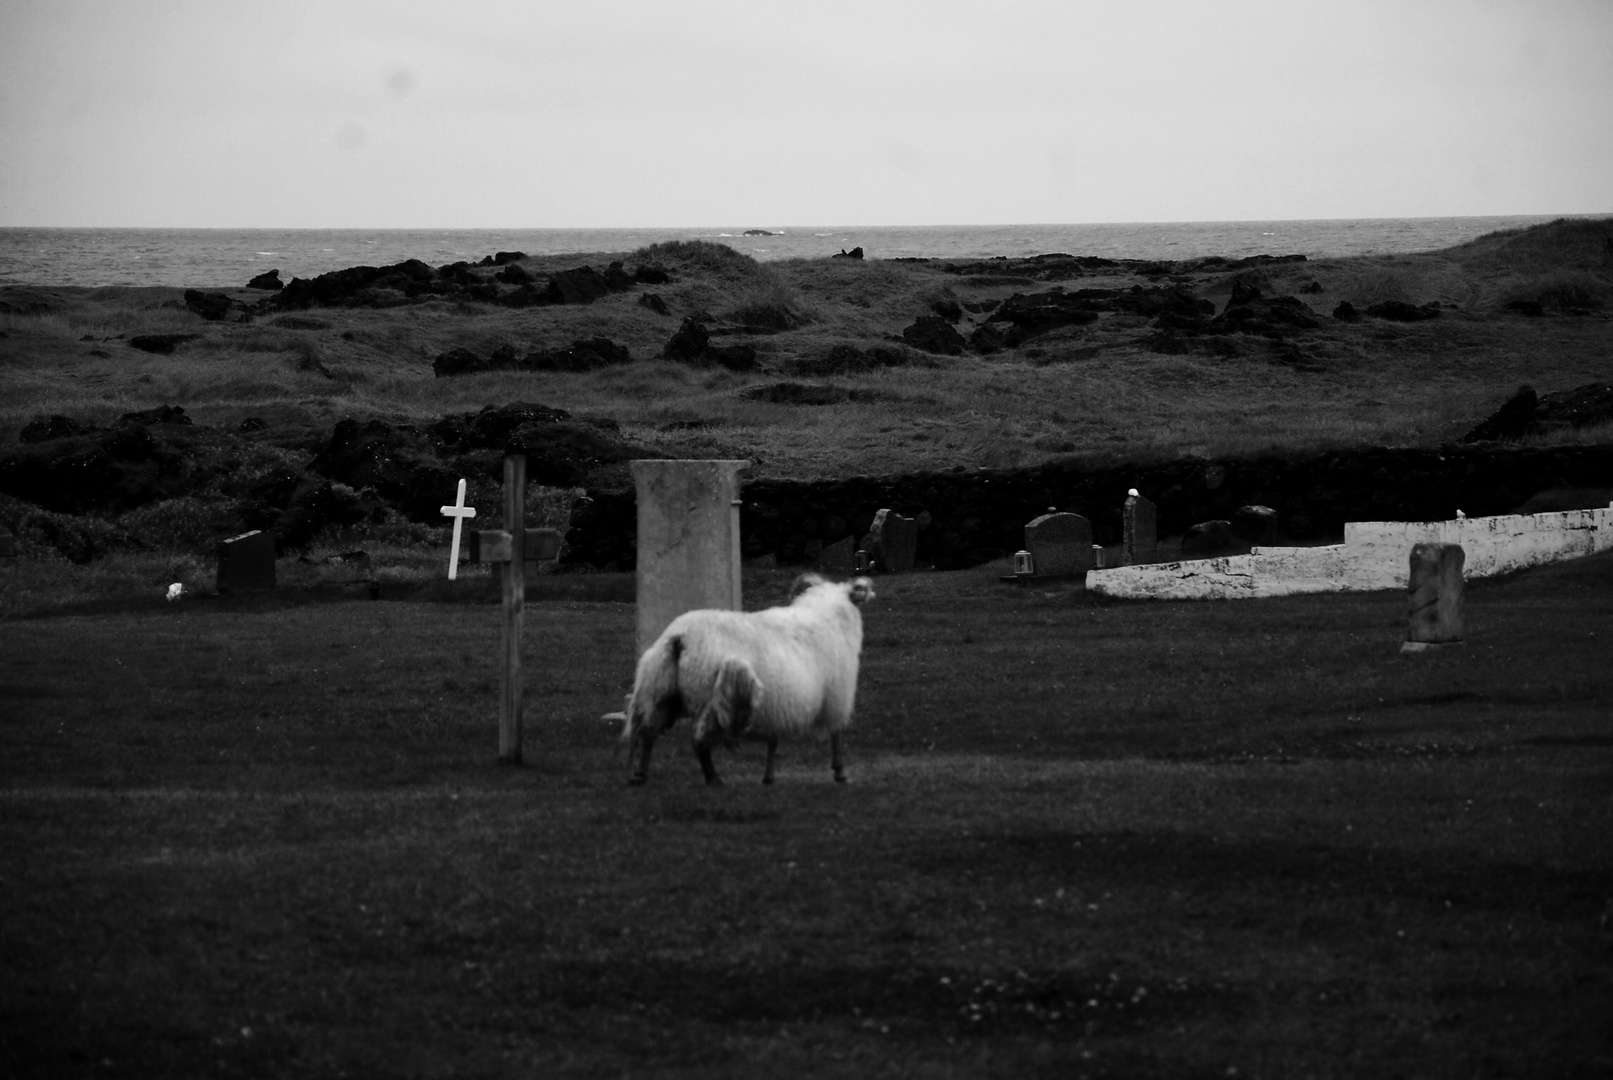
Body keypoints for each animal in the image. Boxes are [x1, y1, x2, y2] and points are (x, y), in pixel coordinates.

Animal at [616, 573, 877, 786]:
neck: (827, 612)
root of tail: (680, 638)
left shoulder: (776, 702)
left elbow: (773, 741)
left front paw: (768, 777)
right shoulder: (835, 695)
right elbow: (836, 735)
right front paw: (840, 772)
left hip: (658, 689)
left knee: (648, 732)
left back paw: (639, 775)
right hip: (709, 697)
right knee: (698, 739)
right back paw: (714, 779)